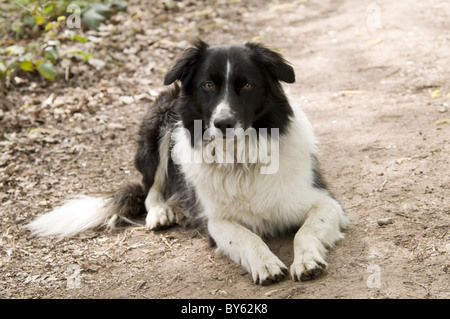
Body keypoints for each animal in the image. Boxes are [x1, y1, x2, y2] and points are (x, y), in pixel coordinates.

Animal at [28, 40, 350, 284]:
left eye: (247, 85)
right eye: (207, 84)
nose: (222, 123)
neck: (240, 158)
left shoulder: (325, 201)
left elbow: (306, 231)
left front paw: (307, 260)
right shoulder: (216, 221)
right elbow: (246, 238)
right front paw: (266, 263)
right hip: (159, 125)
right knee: (151, 190)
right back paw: (161, 212)